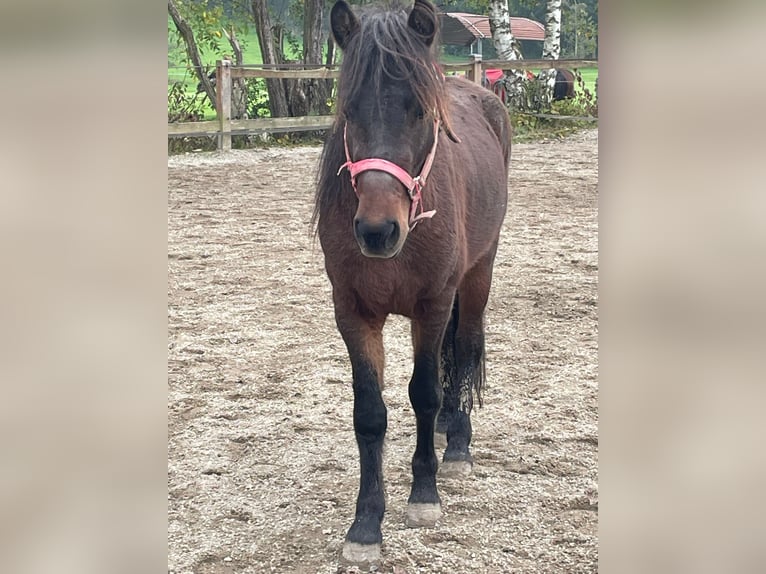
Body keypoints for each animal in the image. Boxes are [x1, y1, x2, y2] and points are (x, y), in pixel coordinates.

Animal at [312, 0, 510, 568]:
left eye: (420, 112)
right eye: (349, 111)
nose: (378, 230)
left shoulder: (433, 304)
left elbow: (422, 391)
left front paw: (424, 496)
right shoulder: (353, 312)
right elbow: (370, 413)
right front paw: (365, 524)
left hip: (478, 274)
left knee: (464, 347)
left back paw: (457, 441)